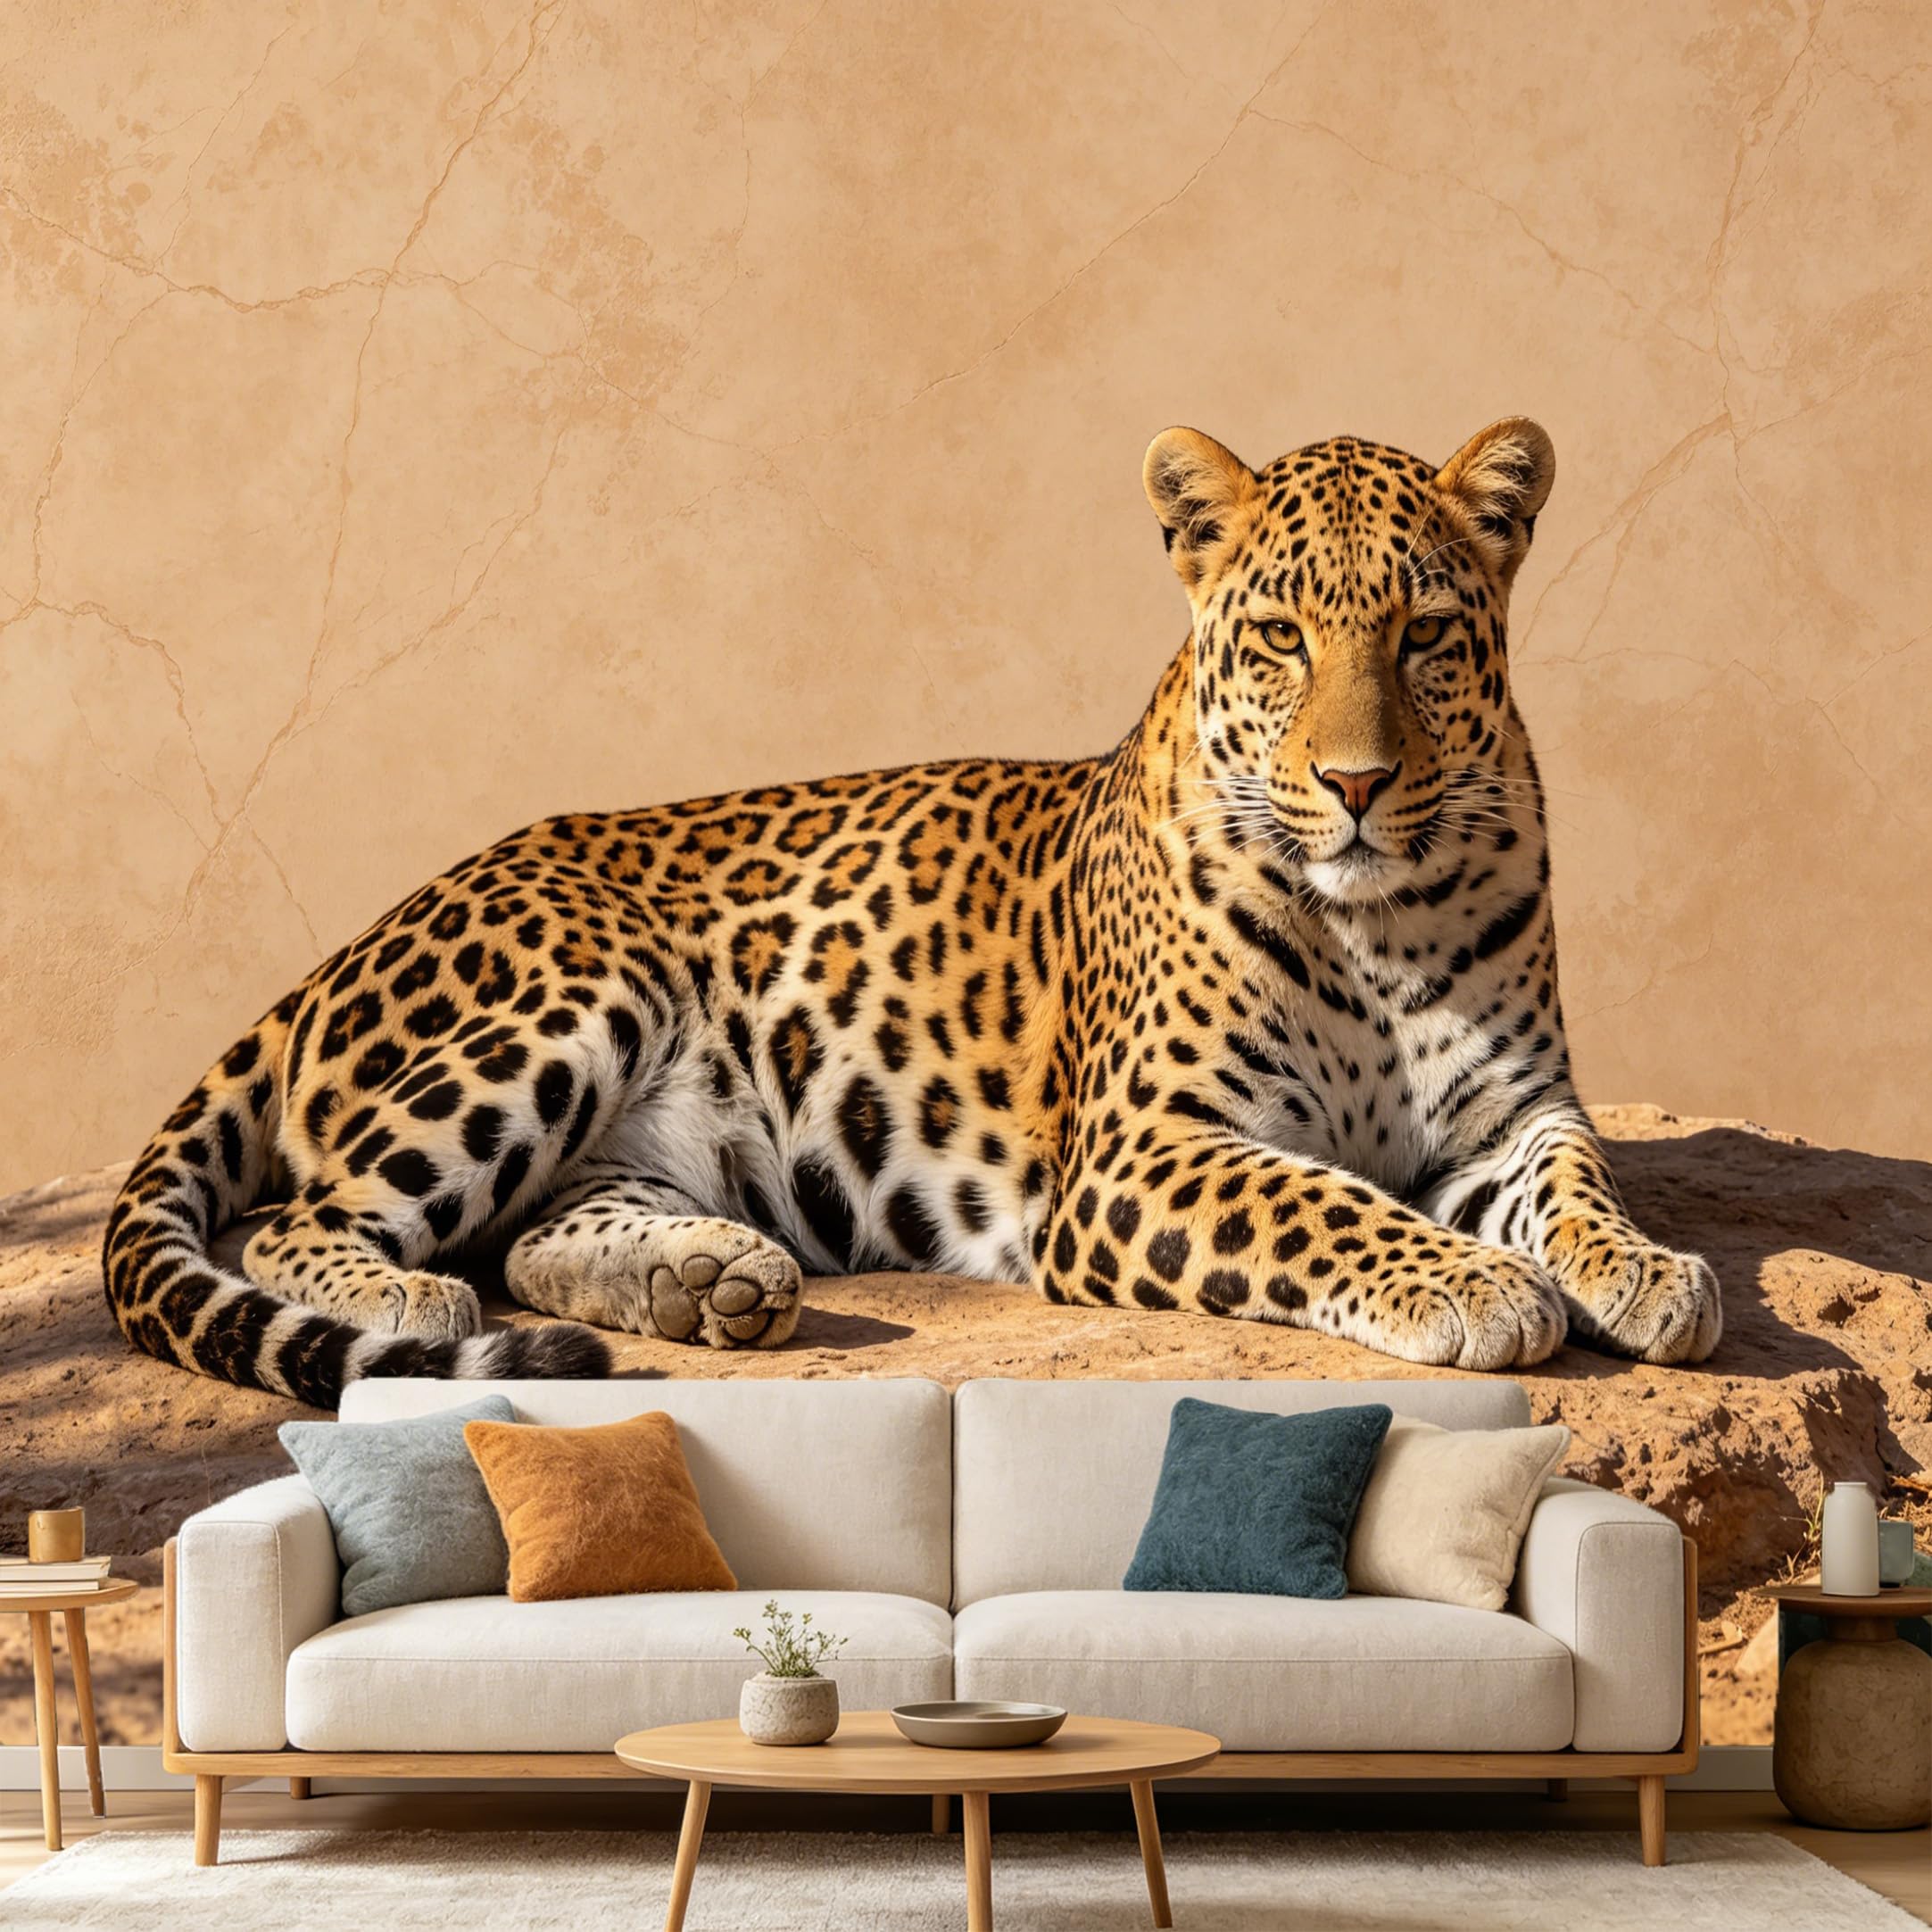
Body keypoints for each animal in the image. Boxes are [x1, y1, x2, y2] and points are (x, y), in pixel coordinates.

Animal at [103, 416, 1722, 1408]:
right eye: (1279, 638)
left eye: (1428, 634)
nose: (1361, 781)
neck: (1377, 924)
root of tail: (339, 947)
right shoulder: (1140, 1149)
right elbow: (1327, 1201)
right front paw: (1477, 1282)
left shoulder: (1513, 1112)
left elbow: (1580, 1183)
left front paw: (1648, 1273)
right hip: (575, 994)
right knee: (309, 1222)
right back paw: (416, 1310)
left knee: (531, 1228)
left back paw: (710, 1279)